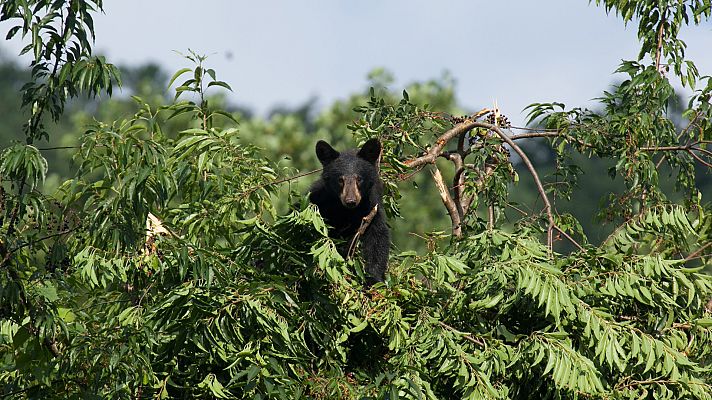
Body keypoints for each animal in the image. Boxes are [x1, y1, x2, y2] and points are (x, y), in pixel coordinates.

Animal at [310, 139, 392, 286]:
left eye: (359, 179)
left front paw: (374, 278)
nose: (351, 201)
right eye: (340, 180)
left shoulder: (372, 206)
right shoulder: (321, 202)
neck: (347, 211)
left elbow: (377, 236)